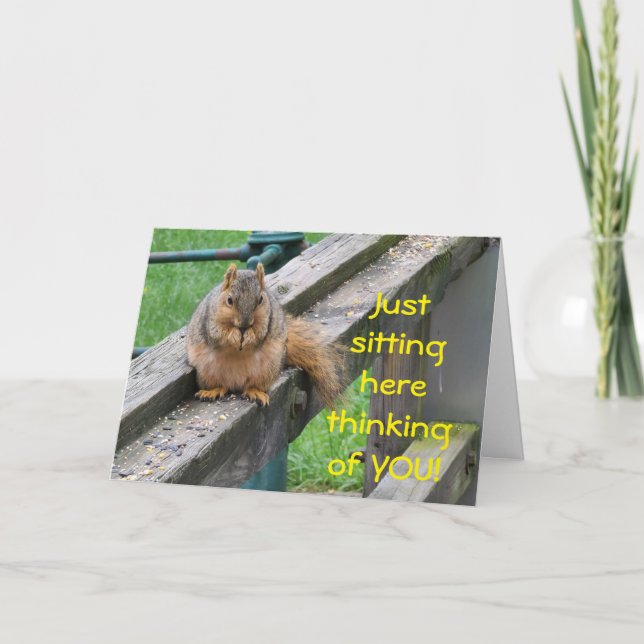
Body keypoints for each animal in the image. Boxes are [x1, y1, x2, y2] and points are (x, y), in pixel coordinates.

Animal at [186, 262, 343, 408]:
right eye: (229, 300)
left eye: (260, 299)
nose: (245, 323)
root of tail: (235, 384)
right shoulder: (210, 320)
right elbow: (217, 333)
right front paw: (234, 336)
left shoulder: (267, 318)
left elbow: (260, 333)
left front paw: (250, 336)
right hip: (206, 371)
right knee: (221, 385)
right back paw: (212, 391)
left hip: (267, 370)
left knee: (252, 385)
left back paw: (255, 392)